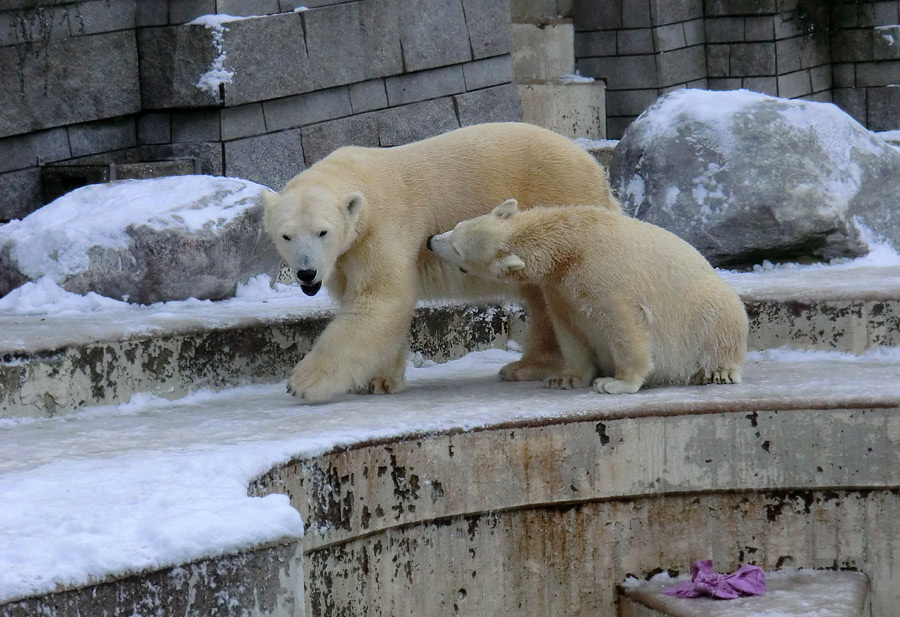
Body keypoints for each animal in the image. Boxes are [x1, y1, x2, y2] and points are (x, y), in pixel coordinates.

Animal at [262, 122, 620, 402]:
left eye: (322, 231)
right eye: (286, 236)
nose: (307, 273)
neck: (360, 181)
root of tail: (596, 169)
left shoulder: (382, 228)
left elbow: (379, 298)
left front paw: (303, 383)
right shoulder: (344, 256)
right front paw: (379, 380)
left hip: (557, 196)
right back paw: (527, 364)